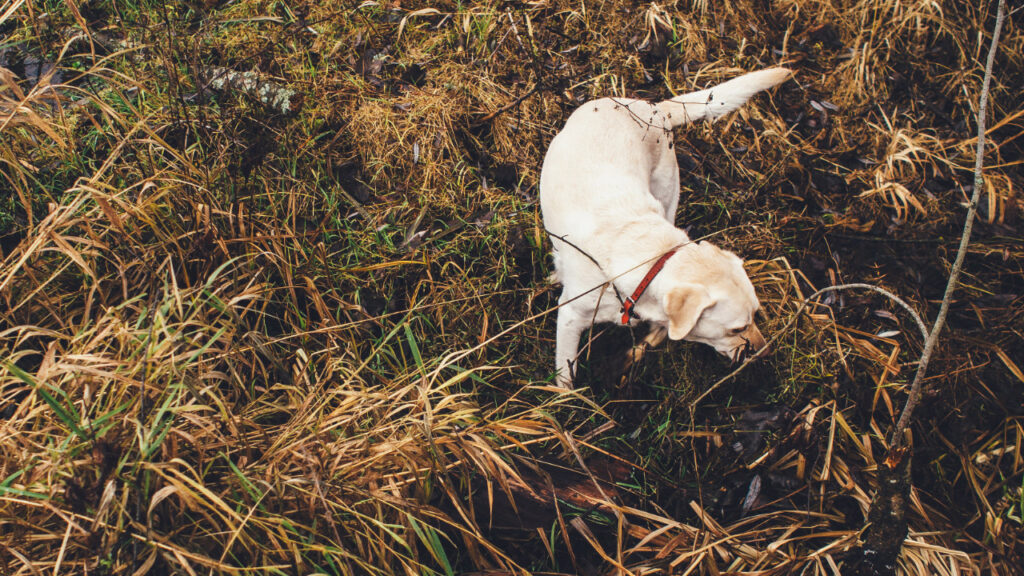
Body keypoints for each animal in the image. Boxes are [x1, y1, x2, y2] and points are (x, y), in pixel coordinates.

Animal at [540, 67, 786, 385]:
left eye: (756, 314)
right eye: (737, 328)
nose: (765, 353)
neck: (649, 261)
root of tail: (654, 107)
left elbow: (659, 333)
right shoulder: (570, 317)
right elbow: (566, 375)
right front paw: (566, 397)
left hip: (668, 193)